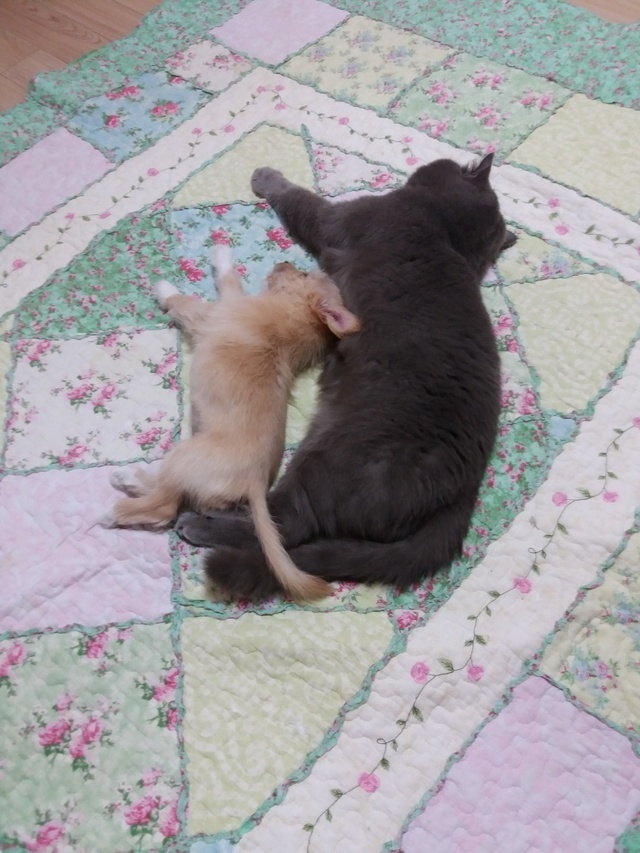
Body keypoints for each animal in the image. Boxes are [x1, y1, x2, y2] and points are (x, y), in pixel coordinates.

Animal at [102, 245, 360, 601]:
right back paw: (129, 478)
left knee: (164, 507)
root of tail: (255, 482)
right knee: (169, 491)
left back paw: (115, 510)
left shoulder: (212, 312)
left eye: (304, 274)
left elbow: (207, 290)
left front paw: (179, 280)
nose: (284, 262)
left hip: (184, 455)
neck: (294, 323)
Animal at [175, 153, 518, 600]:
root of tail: (461, 494)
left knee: (283, 526)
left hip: (327, 457)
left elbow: (300, 200)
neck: (443, 229)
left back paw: (199, 523)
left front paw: (266, 177)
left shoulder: (341, 218)